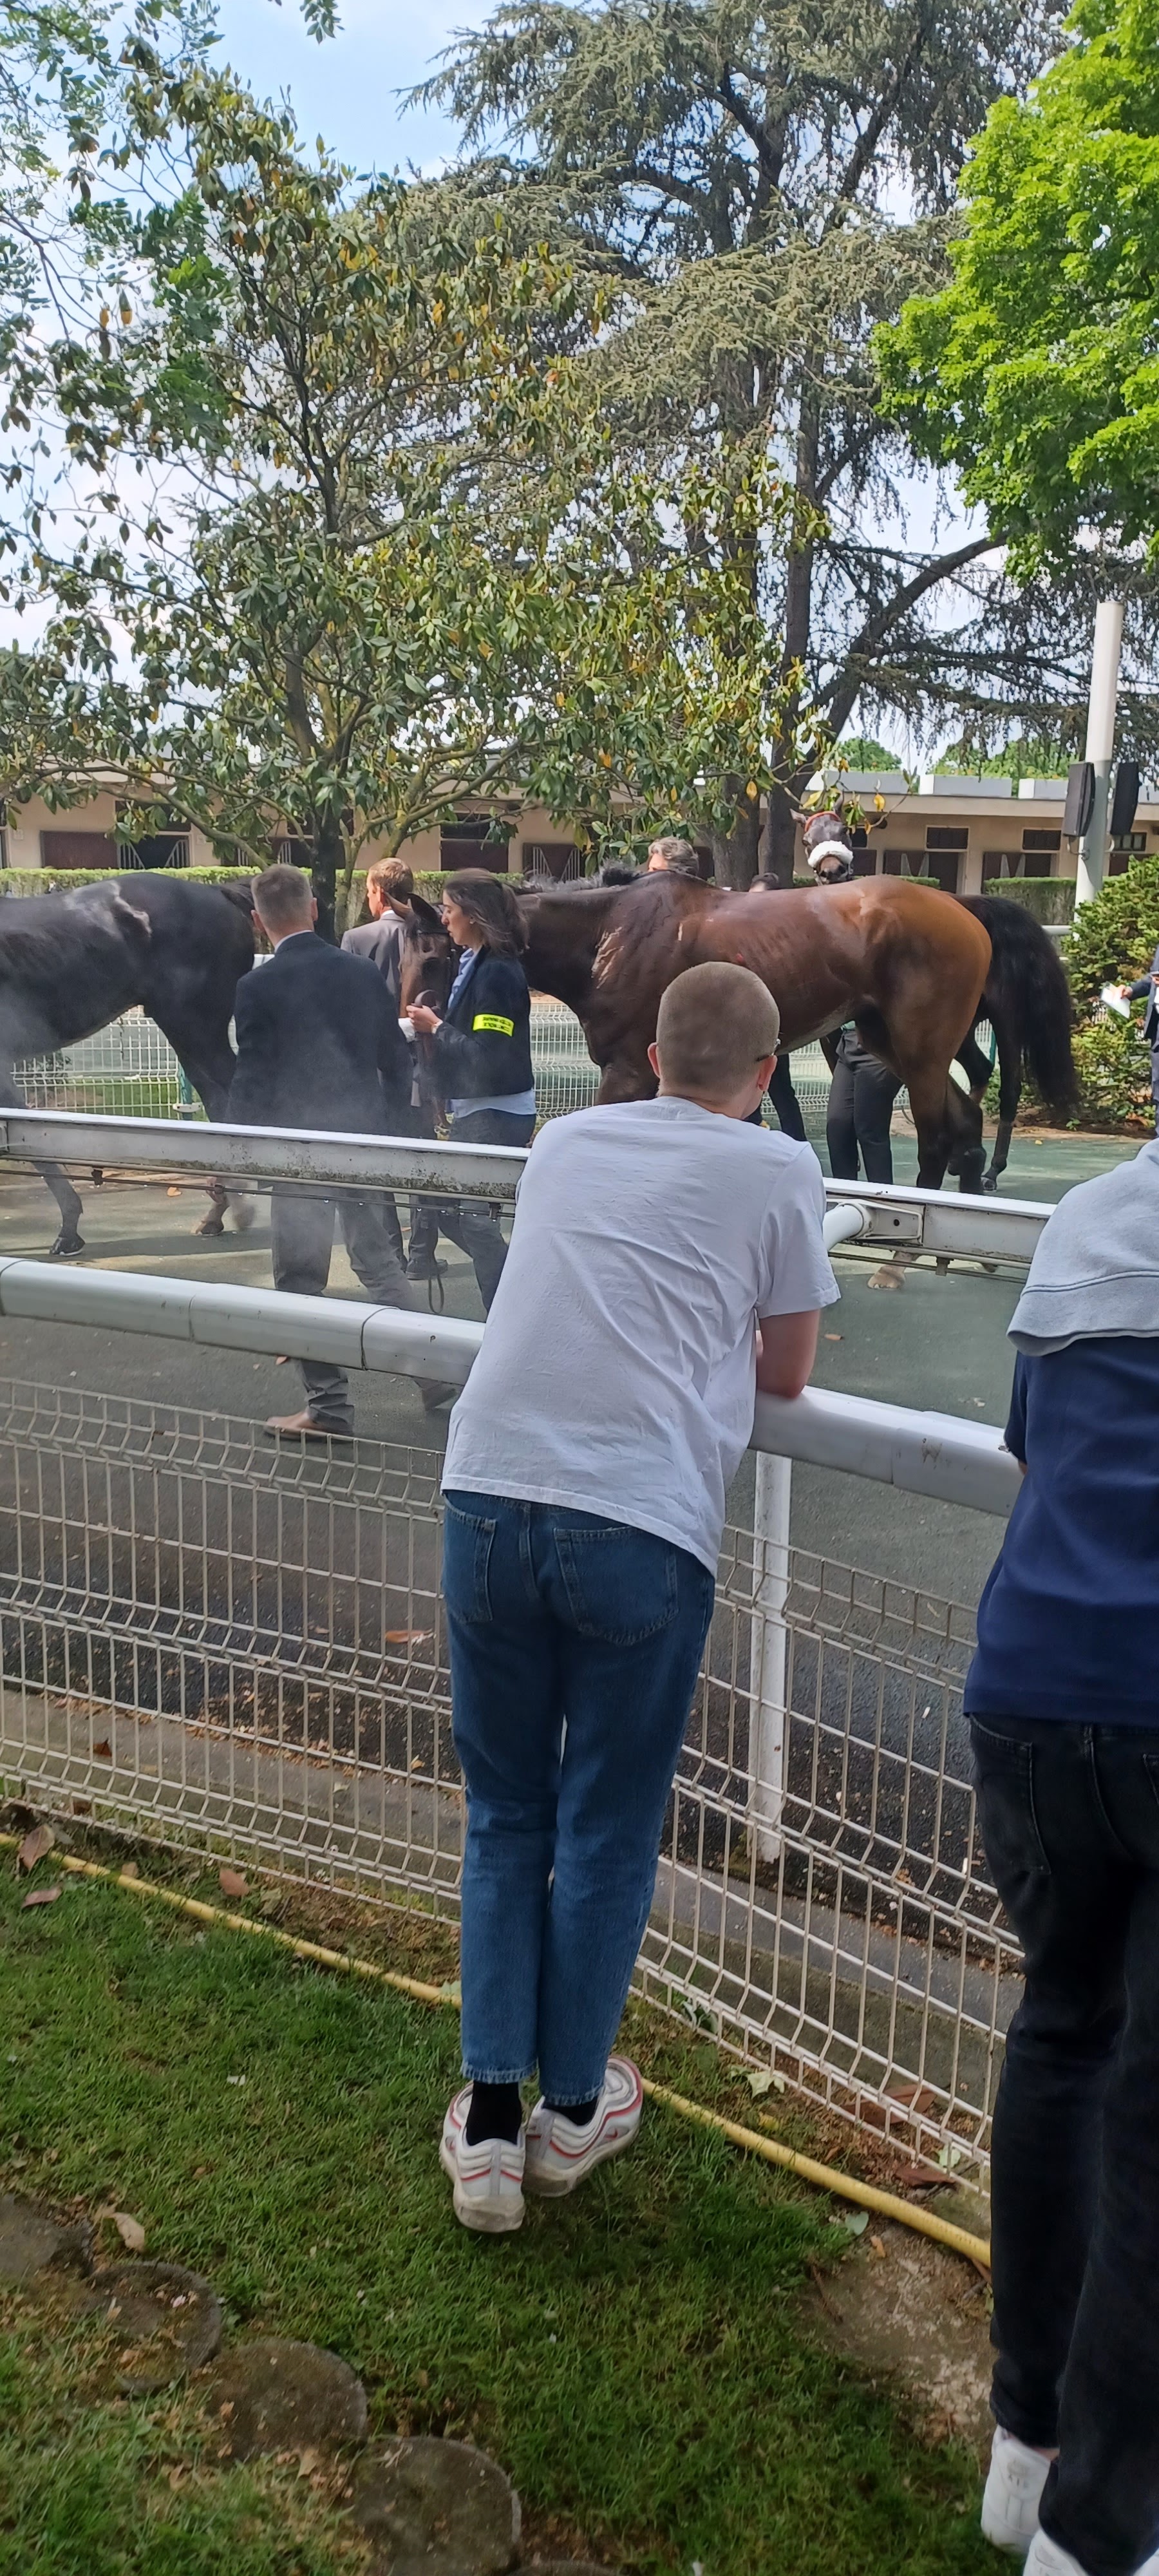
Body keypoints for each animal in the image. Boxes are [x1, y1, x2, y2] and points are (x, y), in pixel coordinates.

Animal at [400, 872, 1075, 1193]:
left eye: (437, 957)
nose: (410, 1021)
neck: (609, 936)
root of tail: (965, 906)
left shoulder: (628, 1070)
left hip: (922, 1047)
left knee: (938, 1137)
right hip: (892, 1040)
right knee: (966, 1121)